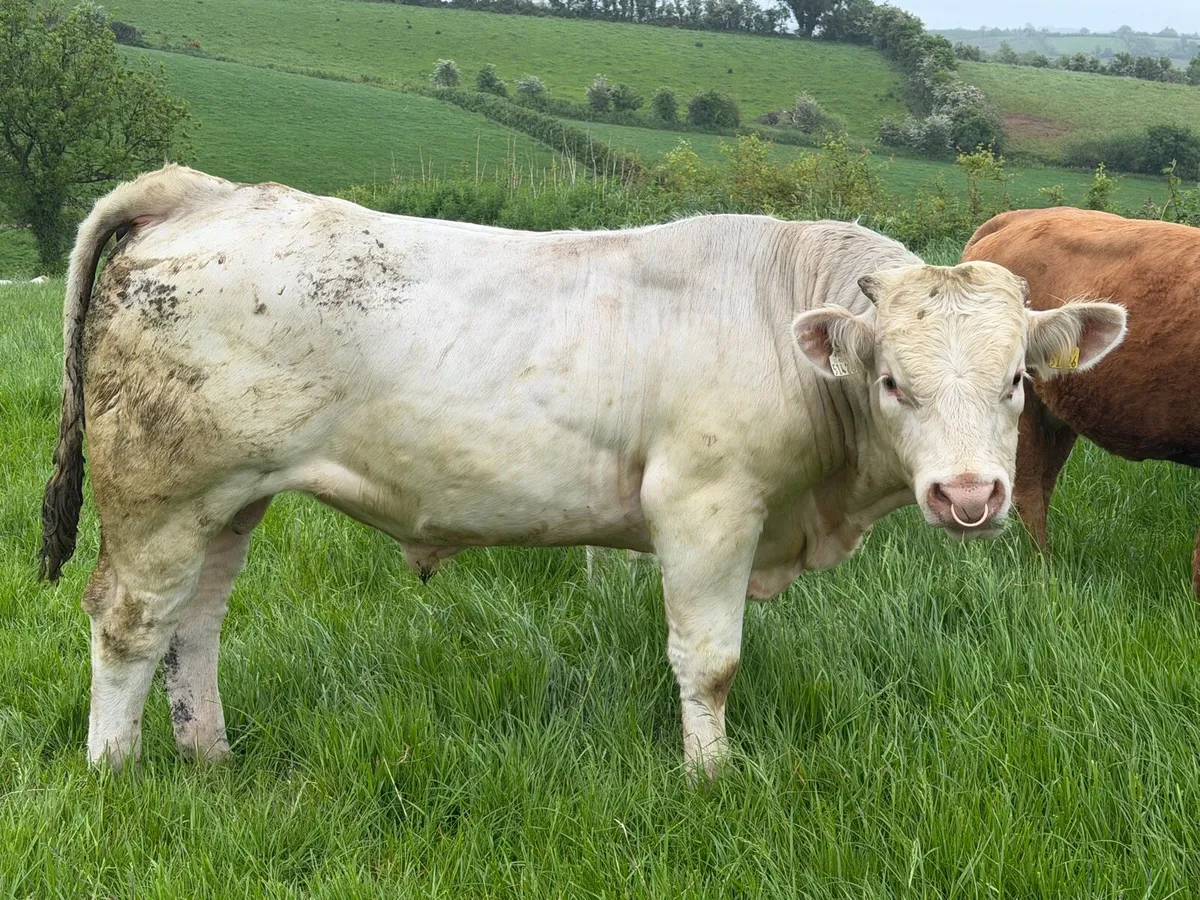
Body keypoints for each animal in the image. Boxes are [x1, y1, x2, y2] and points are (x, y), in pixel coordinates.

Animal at [40, 166, 1126, 776]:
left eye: (1016, 380)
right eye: (894, 381)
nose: (969, 494)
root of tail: (205, 191)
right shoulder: (705, 507)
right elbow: (710, 661)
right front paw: (709, 779)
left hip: (231, 501)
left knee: (195, 629)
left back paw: (210, 757)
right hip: (162, 492)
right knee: (131, 625)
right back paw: (114, 774)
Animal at [962, 207, 1200, 595]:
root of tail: (1018, 216)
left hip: (1056, 417)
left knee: (1042, 483)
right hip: (1021, 408)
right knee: (1028, 490)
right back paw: (1042, 568)